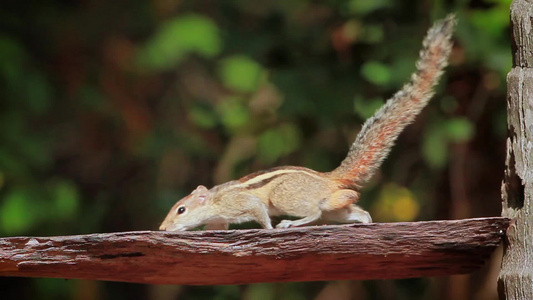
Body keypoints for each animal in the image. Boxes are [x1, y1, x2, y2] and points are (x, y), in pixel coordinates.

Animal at [158, 15, 454, 232]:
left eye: (181, 209)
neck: (216, 199)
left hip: (285, 196)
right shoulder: (220, 219)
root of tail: (328, 178)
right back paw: (363, 218)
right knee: (350, 205)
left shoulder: (246, 203)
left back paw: (290, 223)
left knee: (314, 211)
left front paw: (269, 228)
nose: (162, 228)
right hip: (335, 209)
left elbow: (260, 214)